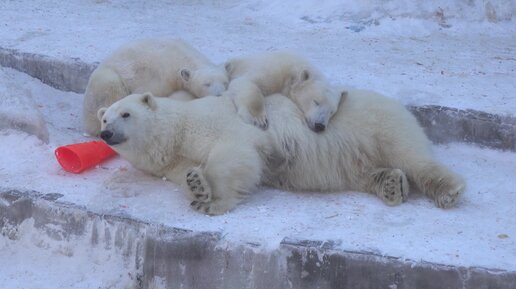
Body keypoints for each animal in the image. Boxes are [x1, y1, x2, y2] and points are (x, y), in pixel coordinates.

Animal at [83, 38, 228, 136]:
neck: (179, 56)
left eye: (225, 83)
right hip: (106, 81)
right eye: (207, 84)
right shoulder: (159, 77)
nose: (219, 95)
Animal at [99, 91, 466, 215]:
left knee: (411, 156)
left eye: (126, 114)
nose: (105, 133)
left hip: (379, 125)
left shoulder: (217, 124)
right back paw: (391, 185)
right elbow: (187, 172)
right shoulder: (176, 159)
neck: (178, 129)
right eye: (104, 117)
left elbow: (237, 153)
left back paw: (449, 190)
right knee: (366, 173)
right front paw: (196, 185)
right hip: (353, 157)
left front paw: (209, 199)